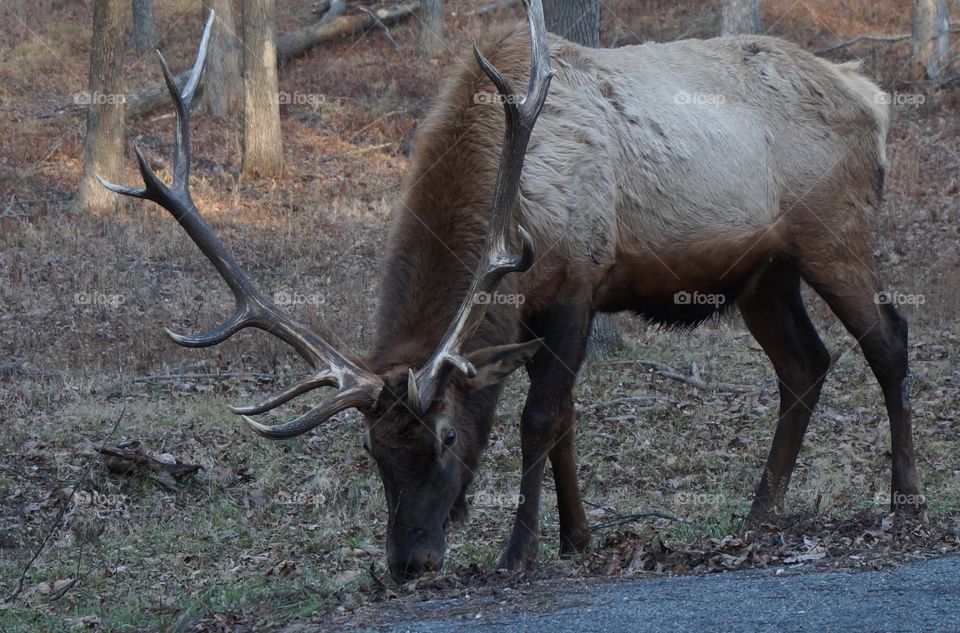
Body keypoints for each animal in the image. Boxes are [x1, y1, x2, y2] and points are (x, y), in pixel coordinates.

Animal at [99, 2, 924, 580]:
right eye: (370, 450)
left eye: (445, 436)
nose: (408, 562)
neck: (509, 193)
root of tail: (876, 99)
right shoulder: (534, 313)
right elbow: (567, 421)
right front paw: (577, 535)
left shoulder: (577, 285)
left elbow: (538, 419)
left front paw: (519, 549)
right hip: (763, 272)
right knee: (806, 363)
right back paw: (760, 511)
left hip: (834, 232)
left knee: (888, 338)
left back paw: (906, 498)